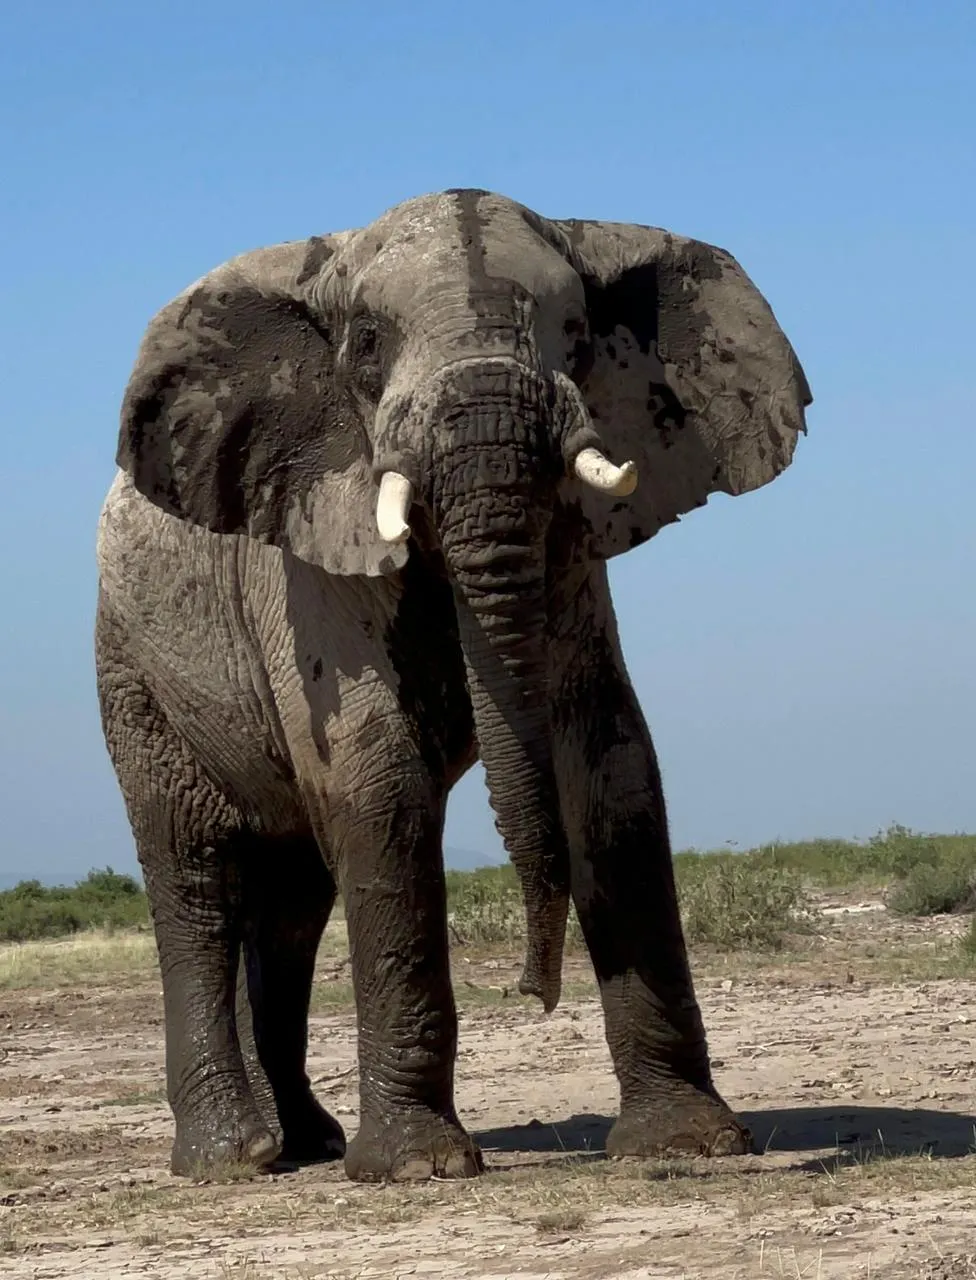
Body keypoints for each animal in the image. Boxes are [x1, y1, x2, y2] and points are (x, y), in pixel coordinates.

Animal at [95, 188, 811, 1182]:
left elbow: (612, 766)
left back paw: (310, 1144)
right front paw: (416, 1168)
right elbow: (381, 783)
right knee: (196, 876)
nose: (531, 992)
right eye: (364, 342)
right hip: (133, 668)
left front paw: (689, 1143)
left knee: (292, 905)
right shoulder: (307, 545)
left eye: (578, 331)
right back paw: (232, 1159)